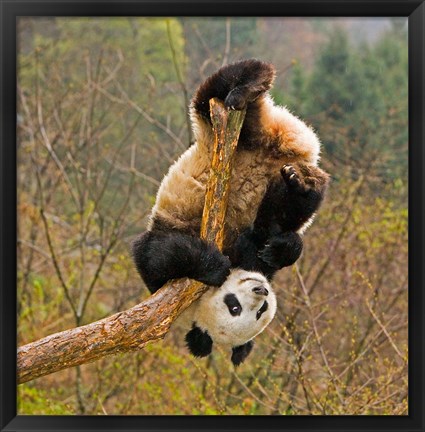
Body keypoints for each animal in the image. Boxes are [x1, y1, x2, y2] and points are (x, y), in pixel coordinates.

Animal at [131, 58, 330, 364]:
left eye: (260, 311)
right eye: (234, 307)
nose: (261, 290)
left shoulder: (252, 255)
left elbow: (272, 239)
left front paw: (279, 249)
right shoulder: (167, 273)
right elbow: (161, 253)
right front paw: (214, 266)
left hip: (249, 133)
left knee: (227, 83)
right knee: (212, 96)